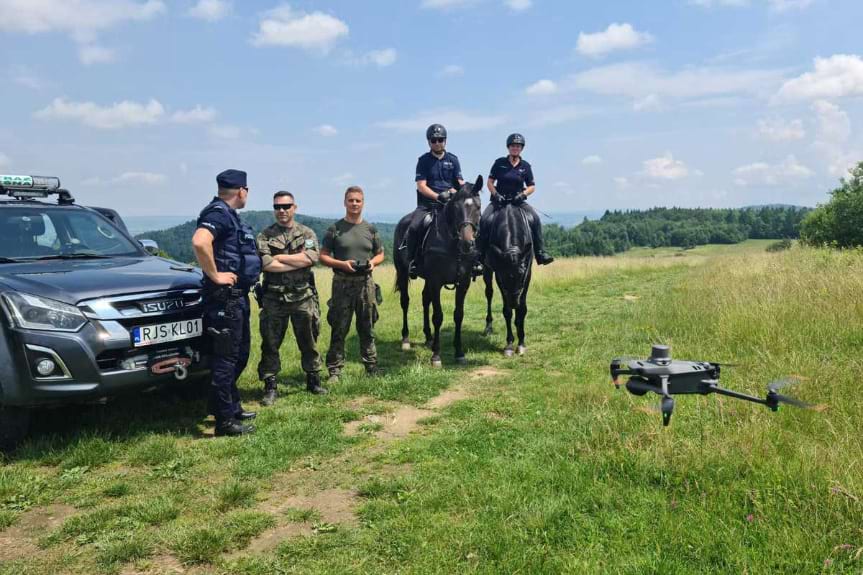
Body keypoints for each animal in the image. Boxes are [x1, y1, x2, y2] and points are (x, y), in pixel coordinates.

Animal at [394, 176, 482, 366]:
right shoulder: (436, 281)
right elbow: (438, 316)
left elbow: (458, 315)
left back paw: (429, 338)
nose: (467, 244)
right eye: (456, 207)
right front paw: (436, 356)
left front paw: (459, 352)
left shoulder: (463, 282)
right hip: (403, 273)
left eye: (478, 207)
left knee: (425, 299)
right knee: (405, 302)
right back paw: (406, 339)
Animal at [480, 200, 532, 358]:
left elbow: (522, 310)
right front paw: (509, 344)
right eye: (504, 276)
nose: (514, 302)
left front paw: (521, 343)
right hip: (487, 270)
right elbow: (507, 311)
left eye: (521, 274)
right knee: (489, 293)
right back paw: (488, 326)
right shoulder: (498, 275)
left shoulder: (528, 274)